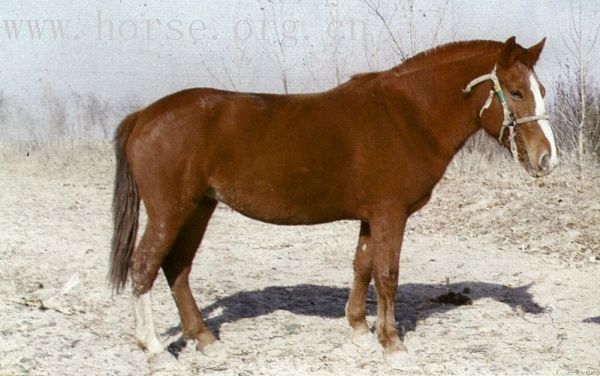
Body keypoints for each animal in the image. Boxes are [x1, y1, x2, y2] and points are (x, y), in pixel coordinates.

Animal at [108, 37, 556, 368]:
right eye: (516, 92)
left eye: (541, 91)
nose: (547, 159)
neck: (406, 116)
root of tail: (144, 116)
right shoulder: (390, 214)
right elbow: (386, 274)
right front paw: (392, 344)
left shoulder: (371, 216)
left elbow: (362, 266)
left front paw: (359, 329)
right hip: (171, 210)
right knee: (145, 266)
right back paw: (155, 349)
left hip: (199, 207)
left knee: (177, 268)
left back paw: (205, 339)